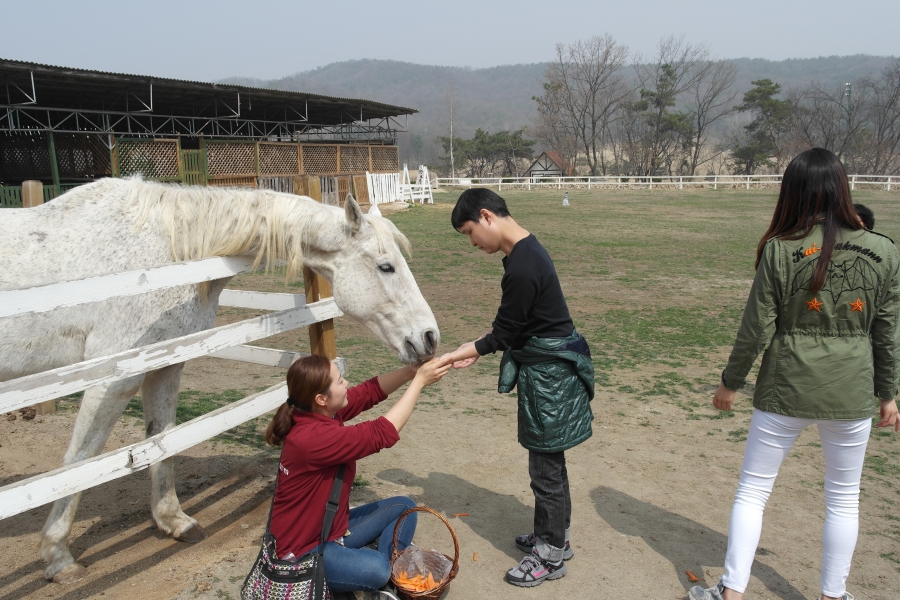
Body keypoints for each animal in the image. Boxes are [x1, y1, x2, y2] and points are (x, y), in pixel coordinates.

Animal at [0, 177, 440, 583]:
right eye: (386, 266)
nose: (429, 337)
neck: (165, 256)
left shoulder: (165, 366)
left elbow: (162, 440)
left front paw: (175, 521)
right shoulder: (113, 378)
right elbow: (80, 461)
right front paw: (58, 556)